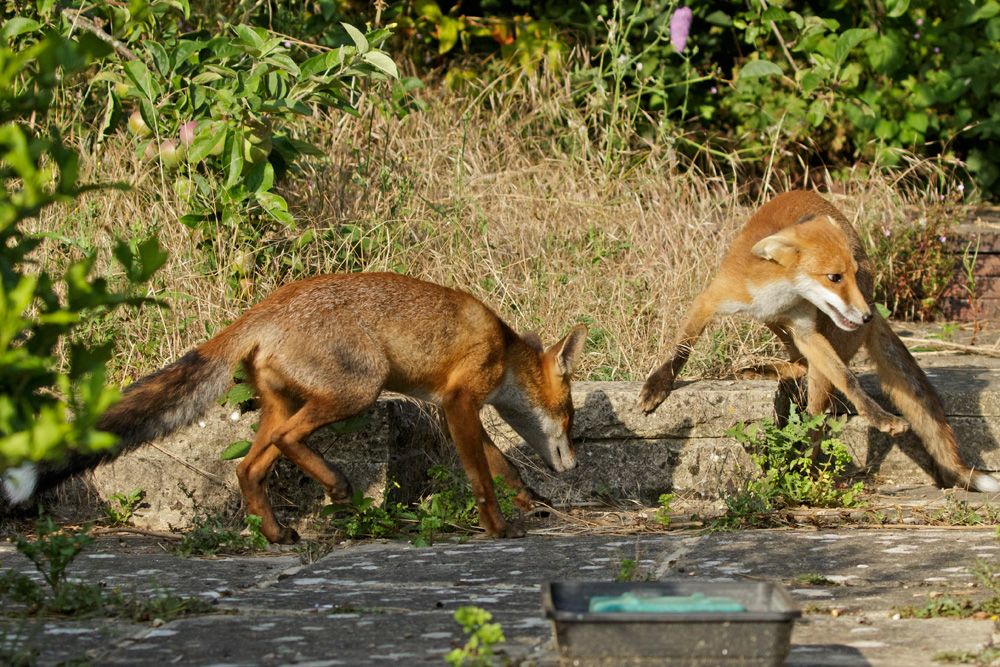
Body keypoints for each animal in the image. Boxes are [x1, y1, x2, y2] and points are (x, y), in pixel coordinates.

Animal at [2, 272, 588, 543]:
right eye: (572, 416)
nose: (576, 465)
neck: (504, 349)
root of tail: (262, 309)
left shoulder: (452, 404)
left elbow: (503, 464)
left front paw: (530, 501)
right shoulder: (461, 401)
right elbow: (481, 476)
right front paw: (498, 527)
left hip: (281, 405)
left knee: (248, 466)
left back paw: (276, 532)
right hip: (358, 389)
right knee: (285, 443)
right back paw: (334, 488)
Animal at [639, 190, 1000, 493]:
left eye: (850, 273)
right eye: (834, 277)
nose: (865, 316)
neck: (776, 293)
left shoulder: (807, 331)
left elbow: (851, 382)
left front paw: (879, 416)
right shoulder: (710, 301)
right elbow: (680, 350)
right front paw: (658, 385)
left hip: (820, 351)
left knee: (815, 416)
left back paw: (803, 473)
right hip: (775, 324)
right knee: (799, 368)